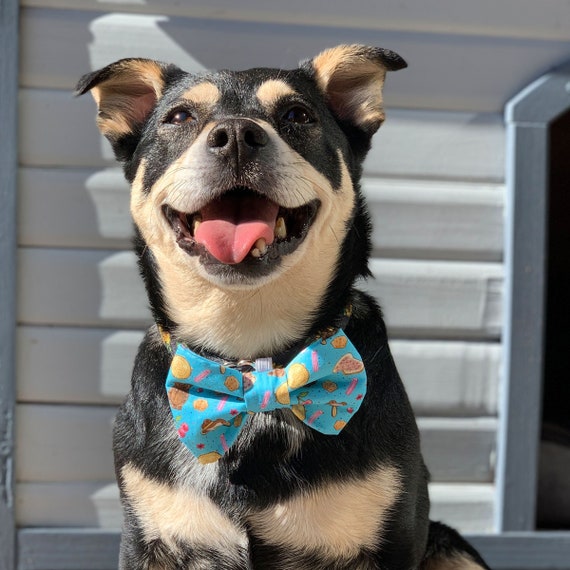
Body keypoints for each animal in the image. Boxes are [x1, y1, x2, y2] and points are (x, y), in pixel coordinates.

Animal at [75, 45, 488, 568]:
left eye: (297, 115)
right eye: (179, 117)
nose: (235, 135)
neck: (252, 357)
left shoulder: (392, 539)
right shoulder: (148, 538)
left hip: (453, 548)